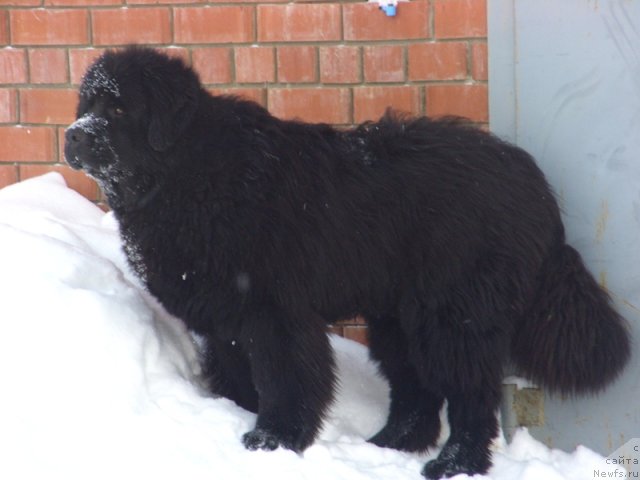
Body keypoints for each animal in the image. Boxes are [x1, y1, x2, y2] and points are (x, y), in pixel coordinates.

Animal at [66, 47, 632, 478]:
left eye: (119, 110)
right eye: (86, 104)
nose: (73, 134)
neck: (190, 173)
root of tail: (530, 179)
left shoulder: (274, 313)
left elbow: (285, 379)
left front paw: (274, 439)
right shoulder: (225, 317)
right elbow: (236, 377)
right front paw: (238, 421)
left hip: (453, 316)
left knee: (470, 394)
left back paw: (453, 464)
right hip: (398, 318)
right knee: (415, 391)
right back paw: (388, 445)